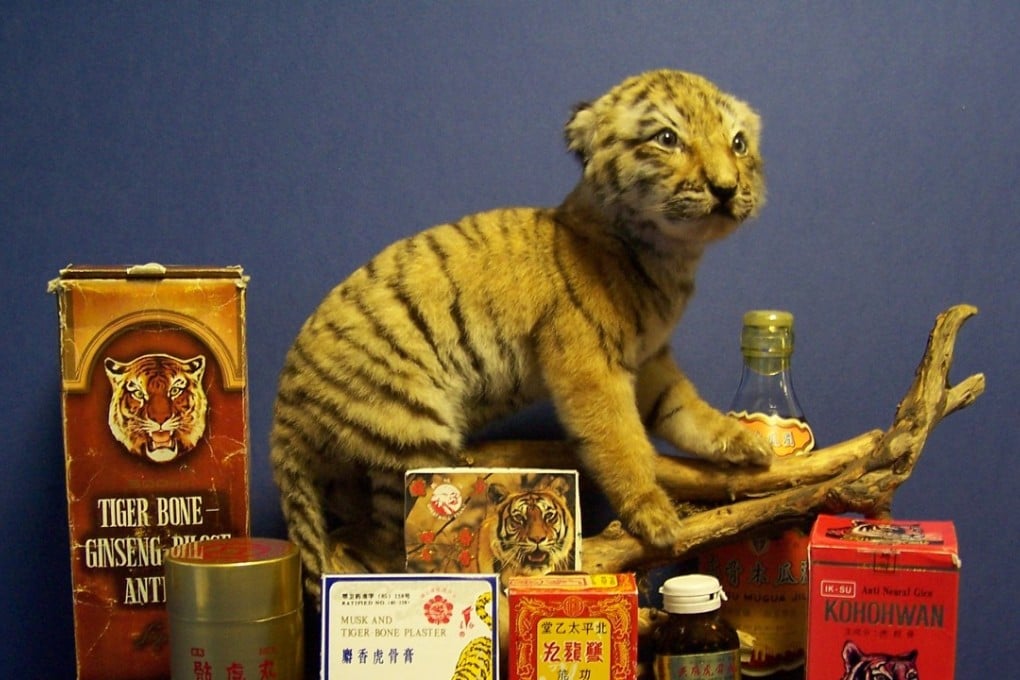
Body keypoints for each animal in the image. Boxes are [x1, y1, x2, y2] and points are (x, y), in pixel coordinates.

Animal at [270, 68, 773, 598]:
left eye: (738, 143)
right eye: (667, 139)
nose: (726, 187)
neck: (670, 255)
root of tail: (285, 409)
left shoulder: (649, 356)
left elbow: (683, 410)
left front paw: (740, 439)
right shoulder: (590, 367)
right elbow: (621, 440)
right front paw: (653, 513)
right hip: (410, 432)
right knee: (378, 540)